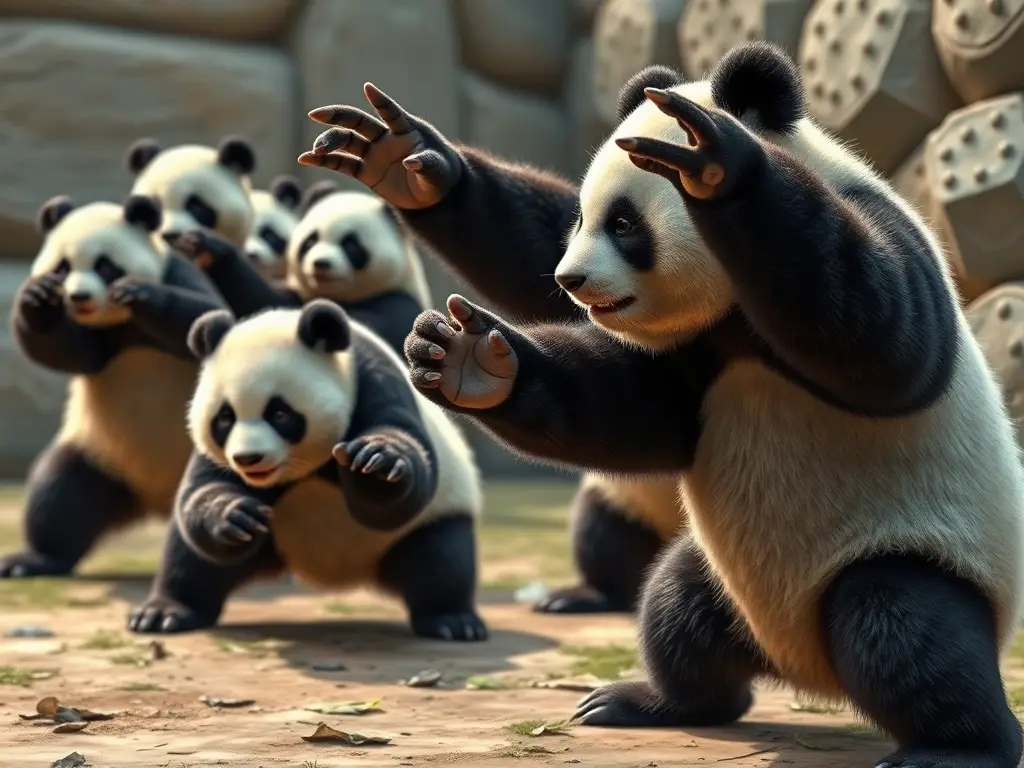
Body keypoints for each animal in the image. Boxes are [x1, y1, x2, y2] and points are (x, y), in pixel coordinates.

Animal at [0, 194, 226, 578]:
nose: (78, 297)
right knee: (60, 494)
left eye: (105, 266)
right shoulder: (96, 340)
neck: (118, 322)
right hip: (101, 454)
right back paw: (33, 560)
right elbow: (70, 352)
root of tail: (156, 499)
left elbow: (203, 315)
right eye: (62, 268)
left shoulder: (178, 274)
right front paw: (37, 297)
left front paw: (141, 294)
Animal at [126, 299, 485, 641]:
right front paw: (235, 515)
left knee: (440, 560)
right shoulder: (217, 458)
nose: (247, 459)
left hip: (432, 519)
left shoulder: (372, 384)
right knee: (192, 561)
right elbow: (204, 490)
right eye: (225, 418)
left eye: (279, 413)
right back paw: (164, 614)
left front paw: (374, 464)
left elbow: (401, 489)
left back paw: (453, 622)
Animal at [164, 181, 430, 356]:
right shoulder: (299, 293)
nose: (320, 263)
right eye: (310, 241)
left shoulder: (396, 303)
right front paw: (198, 245)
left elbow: (359, 327)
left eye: (351, 245)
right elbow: (267, 302)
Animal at [401, 42, 1024, 767]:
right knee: (678, 610)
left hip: (915, 546)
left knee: (903, 626)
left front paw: (716, 161)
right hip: (726, 581)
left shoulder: (869, 229)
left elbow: (889, 340)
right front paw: (468, 355)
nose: (569, 279)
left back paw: (957, 746)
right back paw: (654, 701)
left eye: (624, 224)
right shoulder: (700, 347)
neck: (735, 295)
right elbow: (631, 408)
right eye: (581, 218)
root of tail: (804, 669)